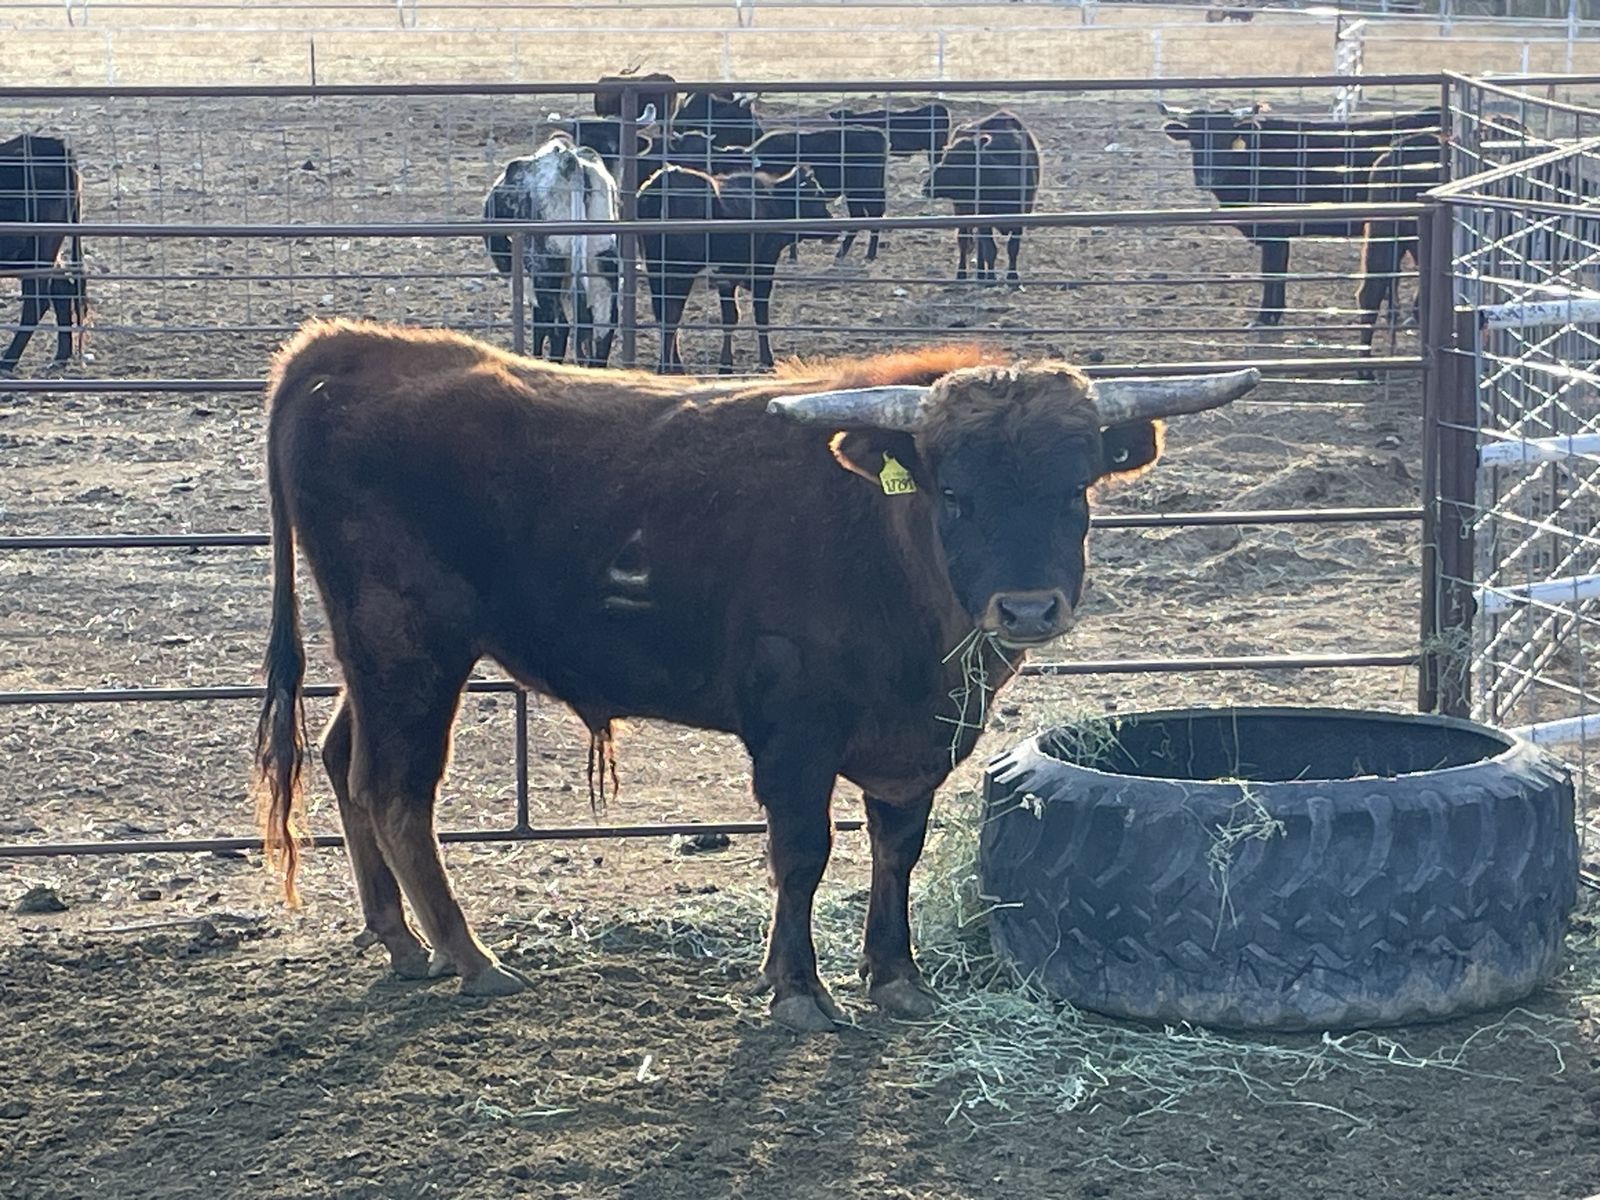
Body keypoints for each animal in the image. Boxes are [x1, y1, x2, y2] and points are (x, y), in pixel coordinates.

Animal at [253, 317, 1261, 1029]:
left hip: (377, 658)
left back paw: (400, 941)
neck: (887, 548)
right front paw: (799, 990)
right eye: (955, 492)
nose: (1026, 609)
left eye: (1074, 491)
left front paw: (896, 977)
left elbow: (896, 849)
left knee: (344, 763)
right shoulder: (794, 732)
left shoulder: (912, 745)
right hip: (410, 646)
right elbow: (803, 853)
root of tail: (349, 347)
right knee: (395, 790)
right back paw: (468, 956)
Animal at [636, 163, 835, 374]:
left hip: (657, 274)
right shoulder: (763, 268)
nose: (833, 227)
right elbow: (760, 315)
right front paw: (766, 361)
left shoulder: (726, 278)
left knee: (663, 315)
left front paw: (726, 365)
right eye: (815, 196)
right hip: (680, 274)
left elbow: (730, 317)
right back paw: (667, 367)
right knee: (671, 316)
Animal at [741, 127, 891, 262]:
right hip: (854, 193)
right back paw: (841, 253)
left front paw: (792, 256)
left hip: (868, 190)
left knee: (875, 214)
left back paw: (869, 255)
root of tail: (877, 135)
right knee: (858, 216)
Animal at [923, 110, 1041, 284]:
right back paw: (962, 274)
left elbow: (1013, 247)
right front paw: (991, 278)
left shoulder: (1022, 214)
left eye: (958, 161)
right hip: (962, 208)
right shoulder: (984, 216)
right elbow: (990, 250)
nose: (927, 187)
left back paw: (980, 273)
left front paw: (1012, 277)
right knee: (964, 239)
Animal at [1161, 102, 1441, 327]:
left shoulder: (1275, 233)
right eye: (1195, 140)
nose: (1207, 178)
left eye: (1225, 140)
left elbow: (1271, 272)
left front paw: (1265, 317)